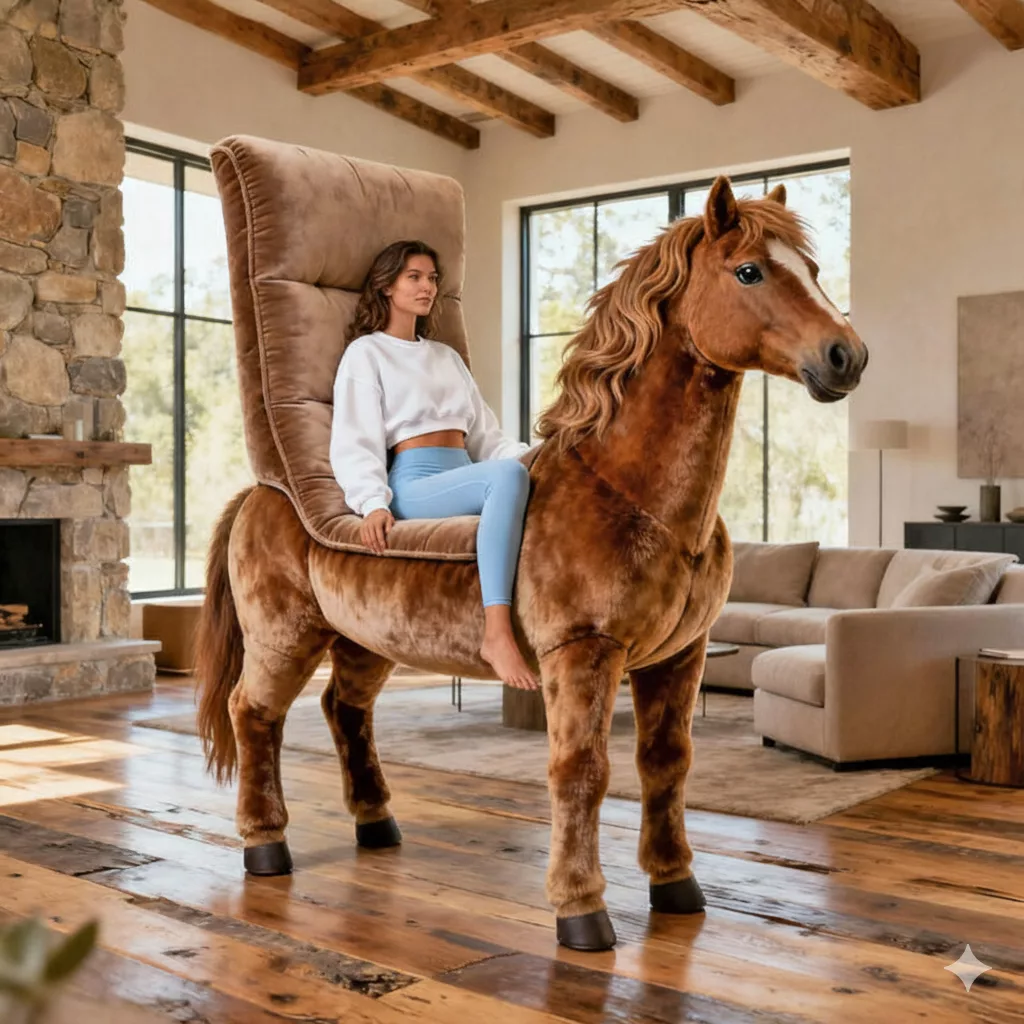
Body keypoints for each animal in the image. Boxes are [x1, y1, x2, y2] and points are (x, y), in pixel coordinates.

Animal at [193, 176, 867, 952]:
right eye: (750, 271)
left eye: (810, 270)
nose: (848, 356)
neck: (628, 492)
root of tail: (263, 490)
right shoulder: (583, 653)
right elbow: (582, 771)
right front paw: (580, 909)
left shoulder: (681, 655)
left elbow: (666, 763)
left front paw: (675, 885)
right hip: (285, 636)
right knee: (254, 714)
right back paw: (265, 844)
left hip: (367, 639)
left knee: (344, 709)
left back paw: (377, 823)